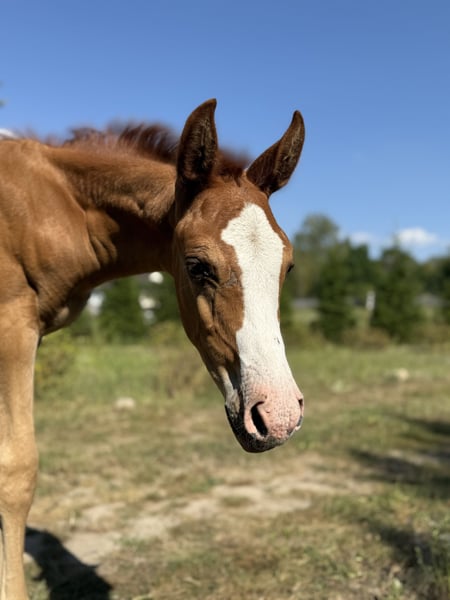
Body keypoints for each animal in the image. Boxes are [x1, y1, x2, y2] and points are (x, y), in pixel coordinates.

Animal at [0, 99, 305, 599]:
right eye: (197, 265)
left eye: (289, 266)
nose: (278, 417)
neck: (54, 206)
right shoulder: (13, 328)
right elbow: (17, 470)